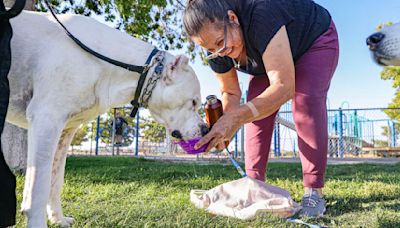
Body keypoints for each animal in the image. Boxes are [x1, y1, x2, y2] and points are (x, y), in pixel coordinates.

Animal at [7, 10, 208, 226]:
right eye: (194, 102)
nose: (205, 129)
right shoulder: (46, 119)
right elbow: (38, 188)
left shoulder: (65, 131)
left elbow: (55, 179)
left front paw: (58, 218)